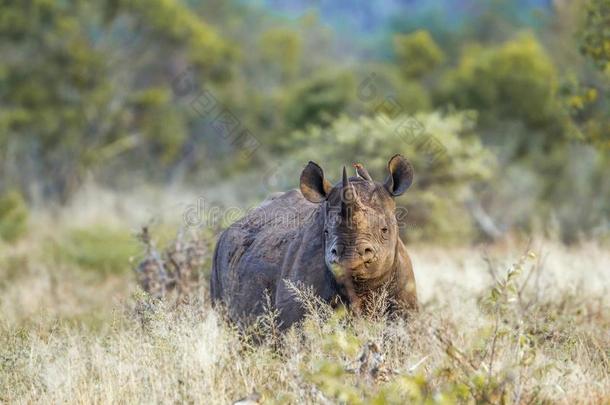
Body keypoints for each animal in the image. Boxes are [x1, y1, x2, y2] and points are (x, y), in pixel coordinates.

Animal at [210, 155, 418, 328]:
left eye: (384, 230)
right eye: (325, 232)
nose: (349, 255)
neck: (361, 287)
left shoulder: (405, 308)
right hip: (218, 259)